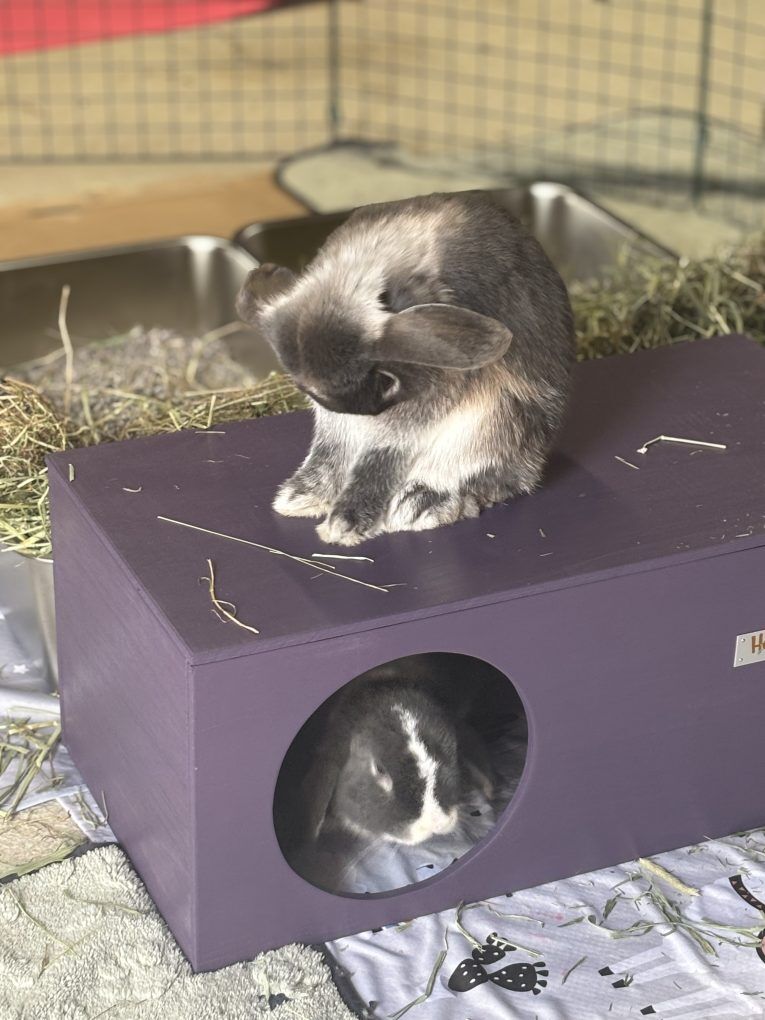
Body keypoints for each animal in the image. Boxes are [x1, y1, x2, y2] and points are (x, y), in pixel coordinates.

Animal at [236, 190, 575, 546]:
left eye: (387, 381)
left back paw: (422, 502)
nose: (370, 411)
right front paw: (306, 496)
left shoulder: (431, 395)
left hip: (496, 419)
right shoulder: (335, 417)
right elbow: (332, 443)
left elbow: (386, 453)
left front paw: (345, 522)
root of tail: (534, 462)